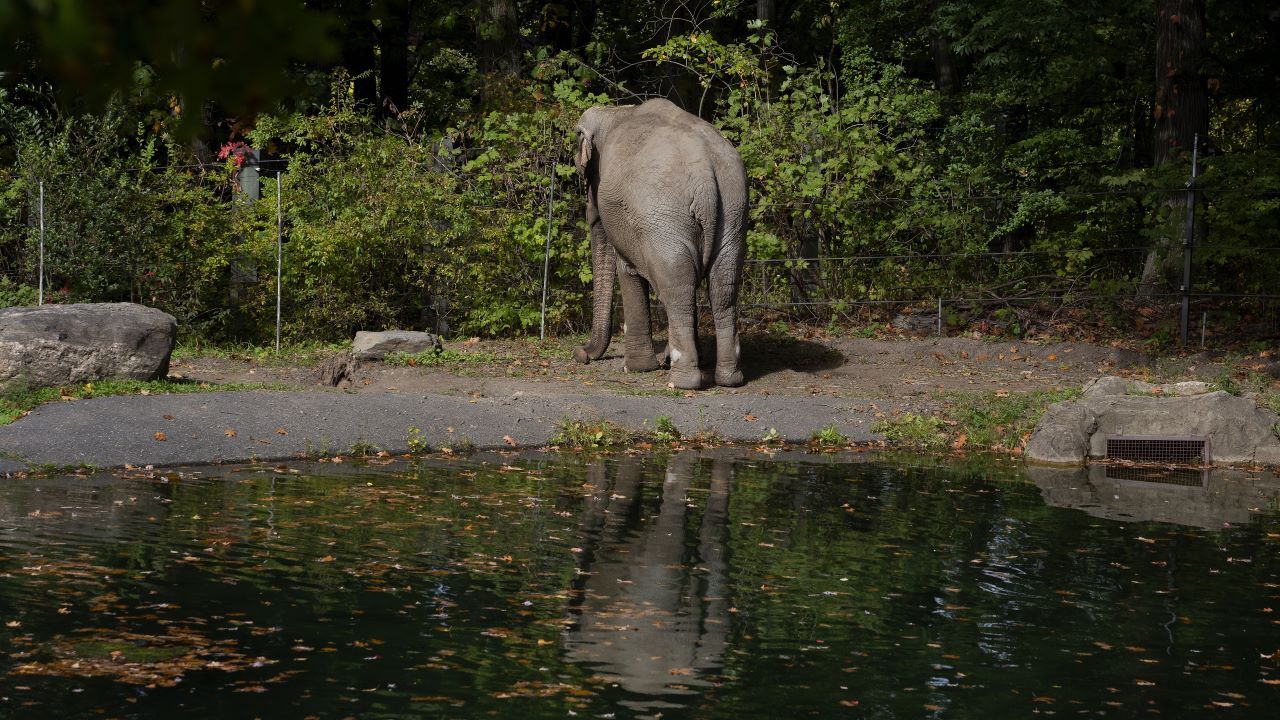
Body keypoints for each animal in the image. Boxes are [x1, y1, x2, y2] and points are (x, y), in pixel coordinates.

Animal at [571, 98, 748, 389]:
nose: (581, 354)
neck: (615, 111)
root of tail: (705, 174)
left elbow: (628, 270)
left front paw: (635, 368)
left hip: (663, 220)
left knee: (677, 287)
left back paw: (681, 381)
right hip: (733, 211)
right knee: (722, 287)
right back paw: (728, 379)